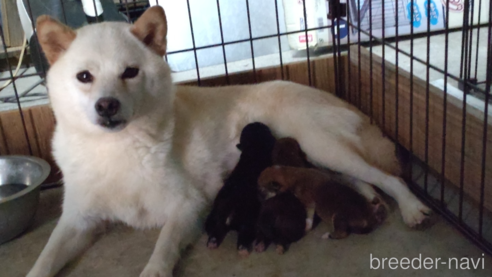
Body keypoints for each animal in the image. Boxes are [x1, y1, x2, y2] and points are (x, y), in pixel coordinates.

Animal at [205, 122, 276, 256]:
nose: (255, 122)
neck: (254, 149)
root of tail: (230, 213)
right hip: (249, 221)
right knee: (244, 237)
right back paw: (244, 250)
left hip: (219, 217)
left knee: (215, 232)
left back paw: (212, 243)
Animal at [258, 165, 388, 238]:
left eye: (263, 190)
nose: (261, 202)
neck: (289, 174)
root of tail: (370, 217)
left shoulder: (308, 203)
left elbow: (309, 215)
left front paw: (307, 226)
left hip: (338, 217)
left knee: (342, 233)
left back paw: (328, 235)